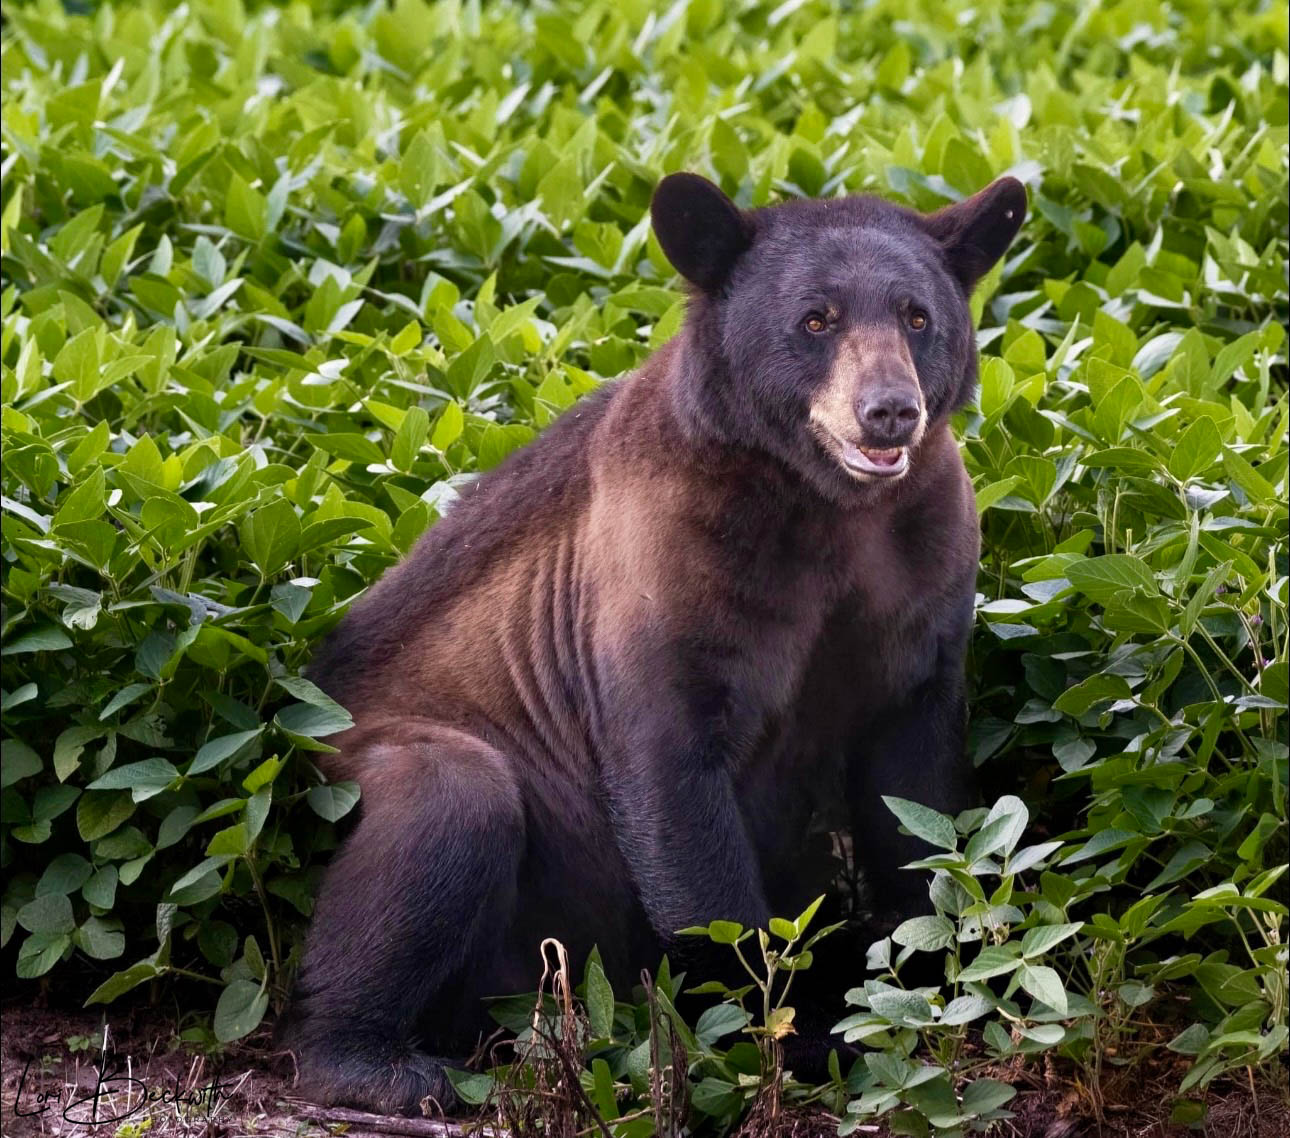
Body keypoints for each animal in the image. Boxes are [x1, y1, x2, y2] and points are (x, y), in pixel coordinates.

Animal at [286, 172, 1027, 1116]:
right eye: (815, 320)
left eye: (918, 315)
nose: (890, 410)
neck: (825, 510)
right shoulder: (666, 569)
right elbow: (677, 791)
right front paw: (765, 1030)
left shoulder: (922, 571)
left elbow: (917, 795)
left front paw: (922, 981)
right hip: (355, 764)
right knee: (448, 804)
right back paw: (382, 1063)